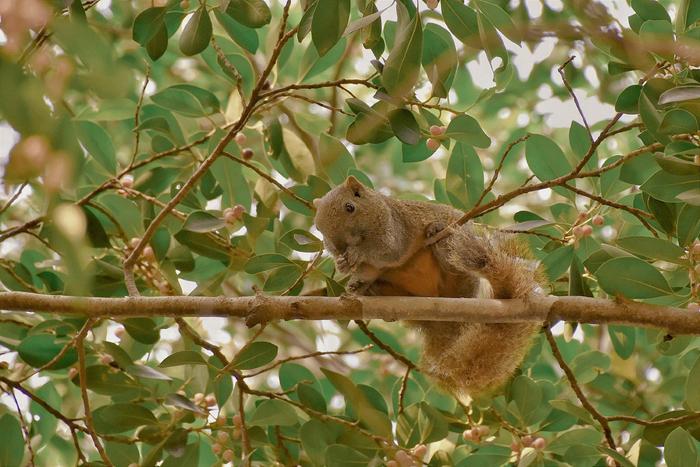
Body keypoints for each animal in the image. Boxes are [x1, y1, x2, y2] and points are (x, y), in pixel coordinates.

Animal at [312, 176, 540, 398]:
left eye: (350, 207)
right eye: (319, 228)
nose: (338, 247)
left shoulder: (396, 230)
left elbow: (387, 251)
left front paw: (357, 254)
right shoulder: (372, 268)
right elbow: (367, 271)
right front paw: (344, 268)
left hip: (459, 262)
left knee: (452, 258)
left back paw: (437, 236)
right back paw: (368, 291)